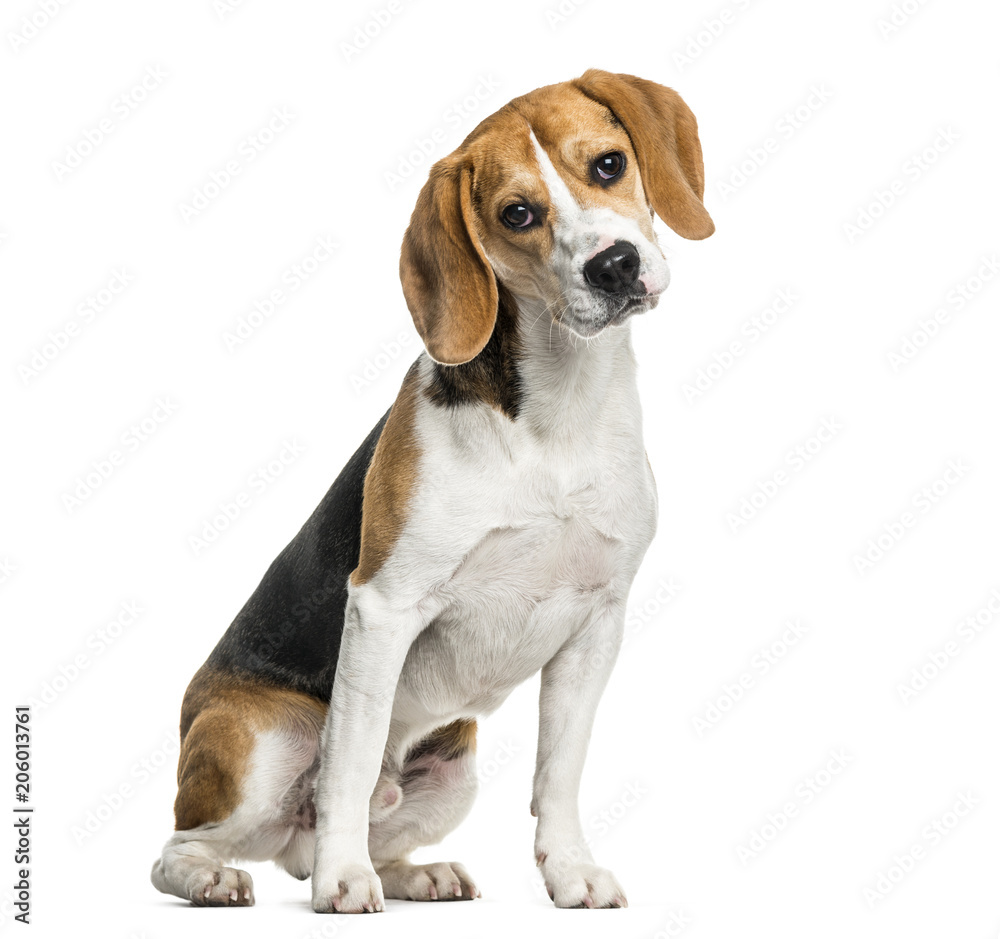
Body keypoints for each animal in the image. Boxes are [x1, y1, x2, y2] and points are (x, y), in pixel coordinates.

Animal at [150, 70, 712, 916]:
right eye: (518, 214)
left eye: (610, 164)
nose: (613, 265)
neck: (558, 411)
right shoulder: (382, 609)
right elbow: (349, 766)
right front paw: (343, 882)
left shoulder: (598, 621)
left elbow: (560, 770)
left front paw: (569, 869)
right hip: (263, 741)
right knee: (186, 845)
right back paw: (230, 875)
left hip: (456, 768)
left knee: (350, 835)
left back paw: (414, 872)